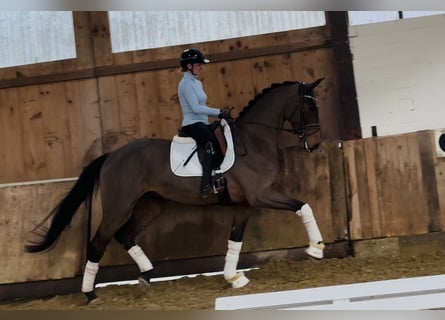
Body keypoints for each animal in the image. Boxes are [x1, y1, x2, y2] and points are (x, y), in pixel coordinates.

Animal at [24, 77, 324, 302]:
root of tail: (111, 156)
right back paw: (90, 294)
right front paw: (316, 249)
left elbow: (235, 241)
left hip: (150, 204)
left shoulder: (244, 204)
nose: (316, 143)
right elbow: (304, 206)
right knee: (99, 242)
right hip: (118, 207)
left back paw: (146, 275)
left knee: (125, 234)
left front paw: (234, 278)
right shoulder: (261, 195)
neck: (253, 140)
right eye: (309, 108)